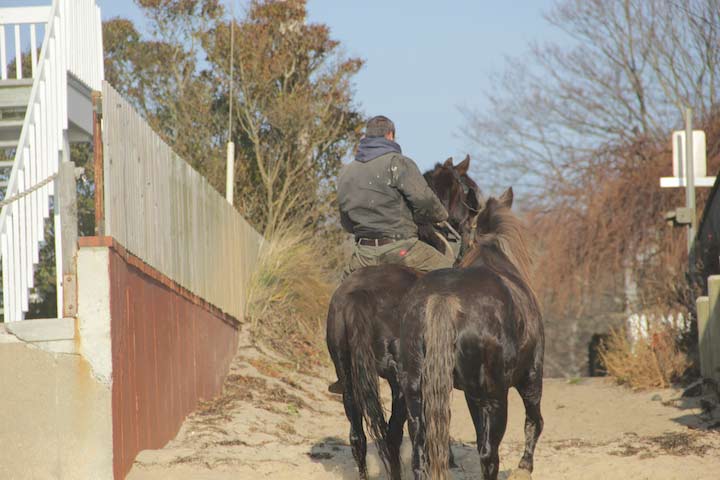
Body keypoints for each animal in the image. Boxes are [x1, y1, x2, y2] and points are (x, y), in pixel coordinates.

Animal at [326, 157, 481, 480]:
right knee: (396, 433)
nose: (472, 235)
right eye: (469, 192)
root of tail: (359, 295)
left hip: (348, 377)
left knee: (360, 437)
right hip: (401, 379)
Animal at [398, 188, 544, 480]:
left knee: (420, 453)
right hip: (496, 396)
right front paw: (525, 467)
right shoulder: (531, 375)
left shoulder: (468, 394)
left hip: (417, 391)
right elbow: (534, 422)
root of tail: (444, 298)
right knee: (490, 453)